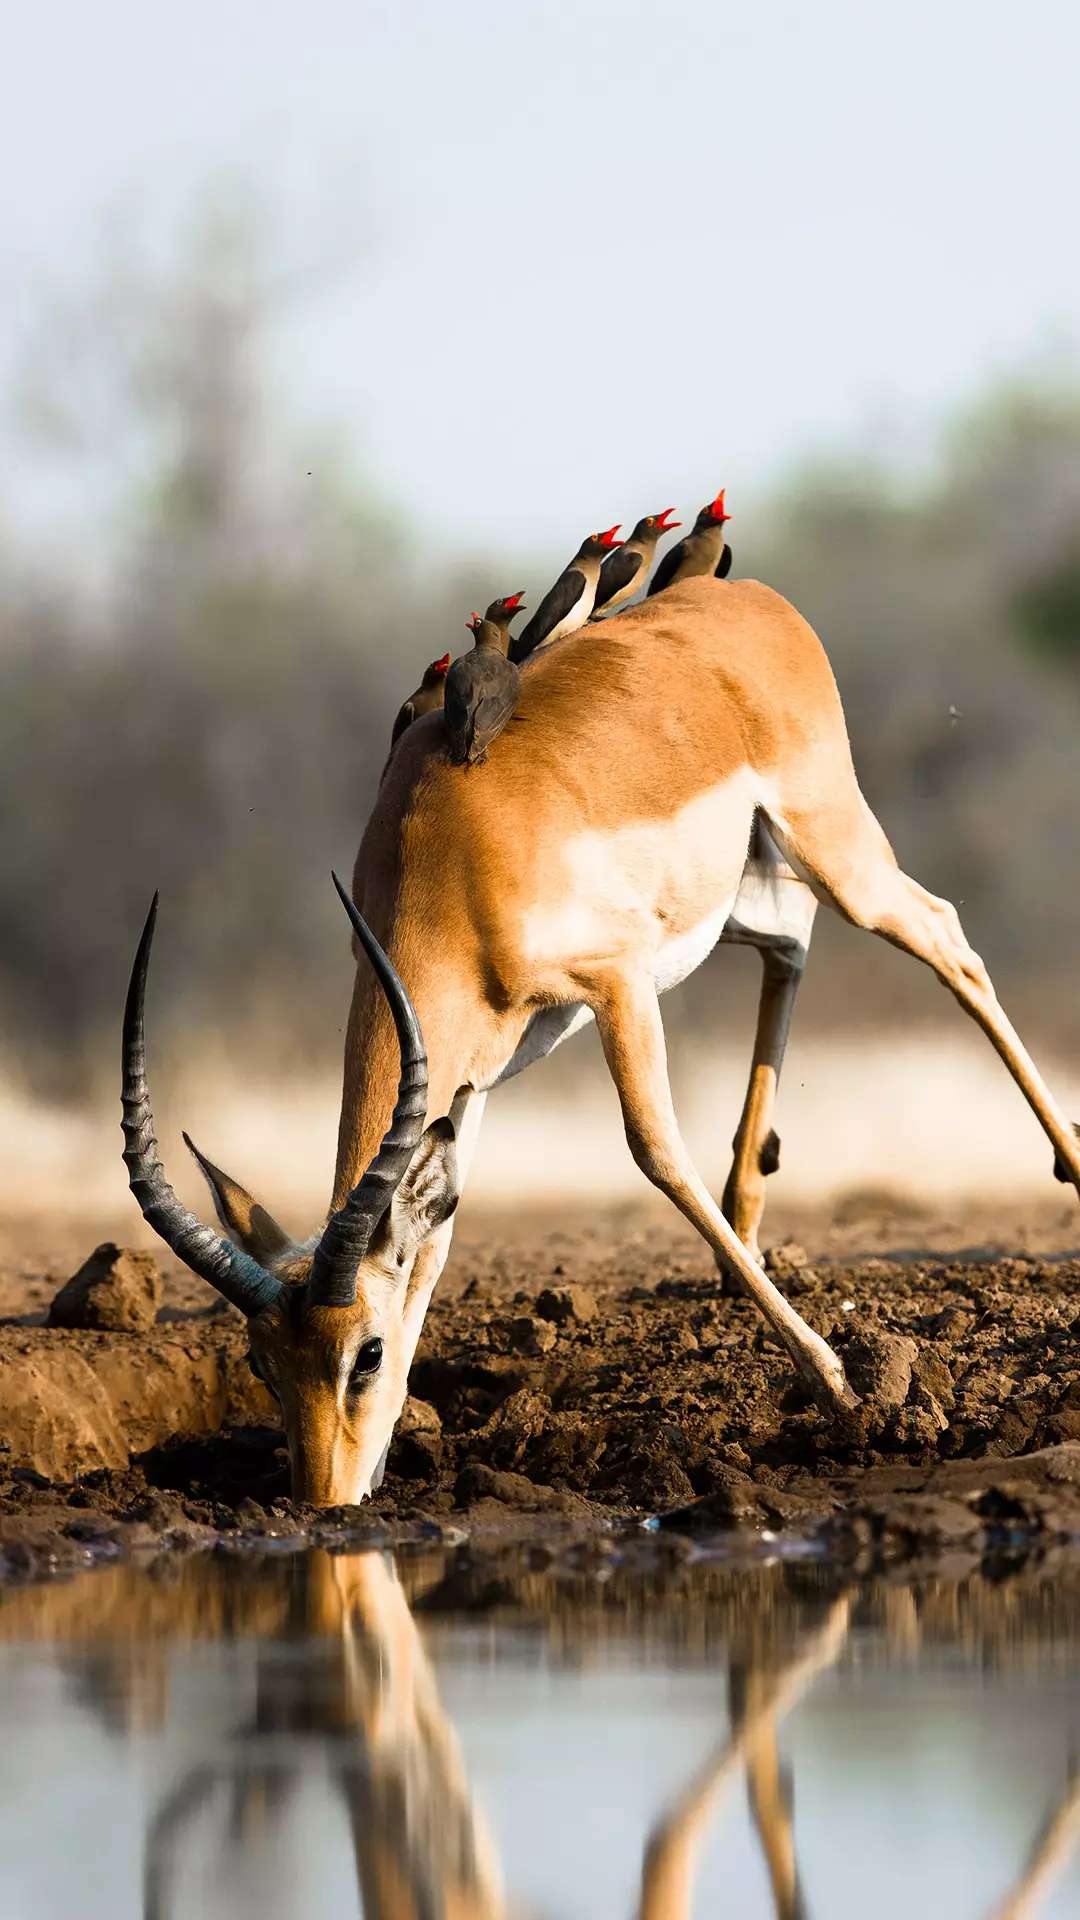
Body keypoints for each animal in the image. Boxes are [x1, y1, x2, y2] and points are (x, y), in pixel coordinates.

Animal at [121, 573, 1080, 1505]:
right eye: (262, 1363)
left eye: (365, 1353)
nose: (321, 1501)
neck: (452, 858)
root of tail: (757, 599)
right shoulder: (468, 1079)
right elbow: (434, 1239)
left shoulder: (618, 981)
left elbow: (653, 1149)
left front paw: (840, 1385)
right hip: (748, 888)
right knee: (794, 943)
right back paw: (748, 1220)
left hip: (836, 852)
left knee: (946, 937)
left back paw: (1067, 1163)